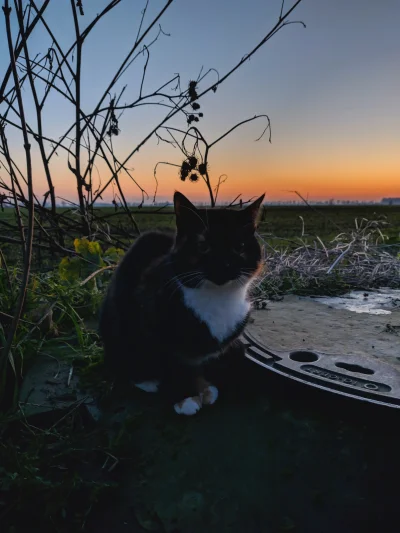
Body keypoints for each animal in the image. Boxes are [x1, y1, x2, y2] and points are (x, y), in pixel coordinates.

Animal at [98, 191, 264, 416]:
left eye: (239, 247)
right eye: (203, 246)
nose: (223, 265)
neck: (217, 299)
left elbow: (200, 363)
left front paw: (204, 388)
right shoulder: (154, 329)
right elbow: (173, 366)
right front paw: (184, 397)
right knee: (123, 354)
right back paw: (146, 380)